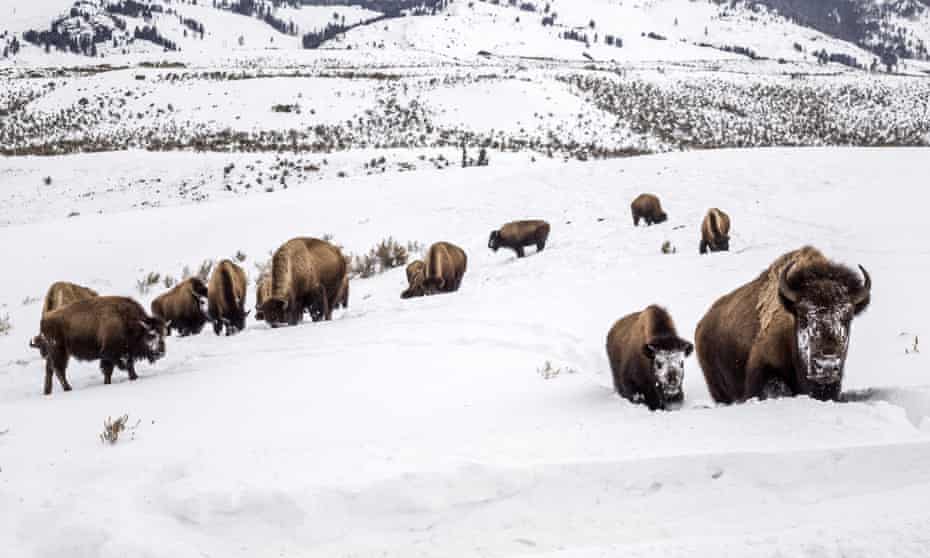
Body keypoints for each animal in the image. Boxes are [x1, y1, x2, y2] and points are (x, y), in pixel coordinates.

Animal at [29, 296, 166, 395]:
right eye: (151, 335)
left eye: (163, 334)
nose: (161, 352)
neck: (127, 321)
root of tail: (45, 318)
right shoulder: (111, 353)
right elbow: (119, 366)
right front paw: (131, 377)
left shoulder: (120, 353)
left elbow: (115, 369)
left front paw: (127, 378)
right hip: (59, 351)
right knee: (59, 370)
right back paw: (68, 389)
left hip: (55, 353)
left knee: (50, 370)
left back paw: (48, 392)